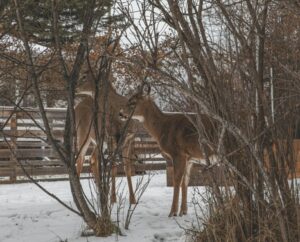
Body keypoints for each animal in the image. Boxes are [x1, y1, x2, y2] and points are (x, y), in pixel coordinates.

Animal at [74, 73, 138, 204]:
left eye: (84, 76)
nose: (75, 87)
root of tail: (76, 108)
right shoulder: (111, 138)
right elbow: (113, 167)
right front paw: (113, 198)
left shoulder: (128, 139)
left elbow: (127, 167)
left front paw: (133, 199)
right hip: (83, 133)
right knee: (80, 158)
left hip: (97, 140)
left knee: (92, 158)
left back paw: (101, 192)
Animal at [118, 82, 217, 216]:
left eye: (133, 102)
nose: (120, 113)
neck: (163, 128)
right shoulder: (189, 158)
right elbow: (185, 182)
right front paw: (183, 211)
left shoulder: (178, 153)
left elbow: (177, 181)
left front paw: (173, 212)